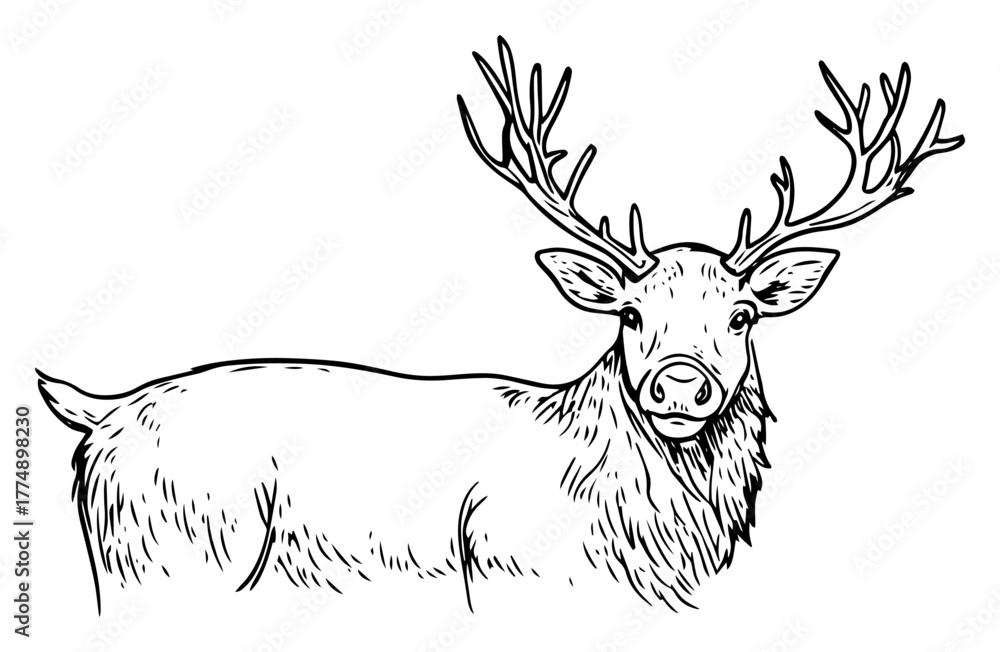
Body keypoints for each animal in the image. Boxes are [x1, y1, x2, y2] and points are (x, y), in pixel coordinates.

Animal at [38, 37, 963, 615]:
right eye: (631, 313)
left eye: (741, 315)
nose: (679, 385)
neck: (653, 539)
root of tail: (97, 412)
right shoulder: (516, 571)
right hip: (171, 552)